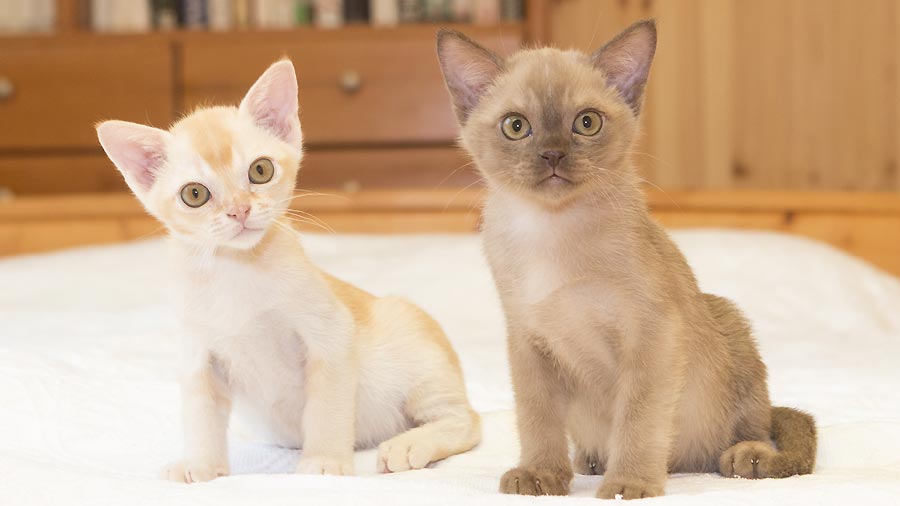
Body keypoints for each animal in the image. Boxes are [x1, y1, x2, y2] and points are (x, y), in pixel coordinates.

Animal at [96, 59, 482, 482]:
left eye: (260, 171)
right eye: (194, 194)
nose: (240, 210)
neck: (237, 270)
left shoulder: (331, 334)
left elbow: (326, 407)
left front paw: (325, 461)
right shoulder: (198, 356)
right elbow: (200, 415)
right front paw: (201, 465)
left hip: (421, 359)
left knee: (468, 420)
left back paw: (411, 444)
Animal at [436, 18, 816, 498]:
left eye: (586, 122)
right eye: (516, 126)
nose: (553, 154)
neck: (552, 231)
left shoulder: (651, 335)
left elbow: (637, 418)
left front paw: (628, 484)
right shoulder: (528, 341)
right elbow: (537, 418)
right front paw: (540, 475)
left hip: (728, 322)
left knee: (754, 424)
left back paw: (744, 455)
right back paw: (591, 459)